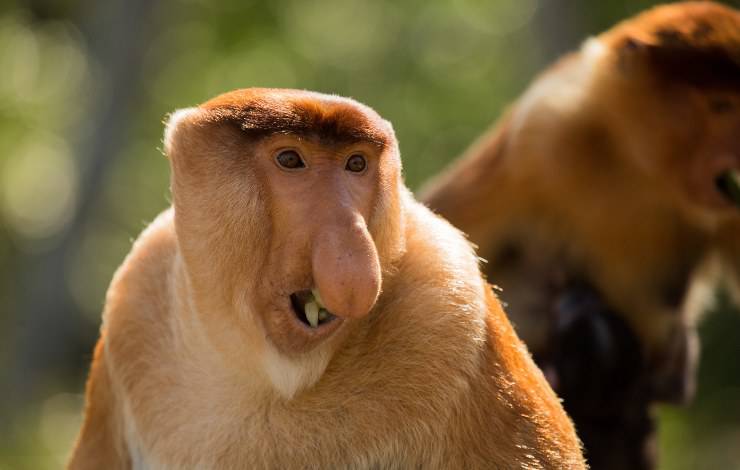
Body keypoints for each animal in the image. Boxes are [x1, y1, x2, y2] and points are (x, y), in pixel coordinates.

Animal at [68, 88, 585, 469]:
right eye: (290, 160)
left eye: (356, 164)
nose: (352, 244)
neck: (272, 377)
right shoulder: (136, 298)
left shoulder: (449, 302)